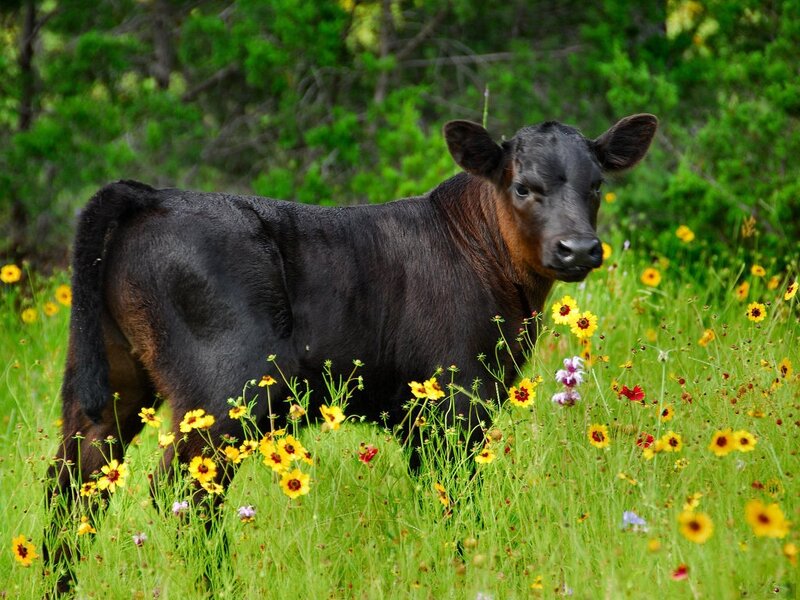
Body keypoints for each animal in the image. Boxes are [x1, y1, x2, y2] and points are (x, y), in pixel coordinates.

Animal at [45, 113, 657, 592]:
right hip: (225, 391)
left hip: (113, 383)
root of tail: (151, 194)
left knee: (74, 484)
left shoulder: (418, 416)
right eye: (524, 187)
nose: (578, 248)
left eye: (596, 184)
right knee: (184, 489)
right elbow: (457, 496)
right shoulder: (457, 400)